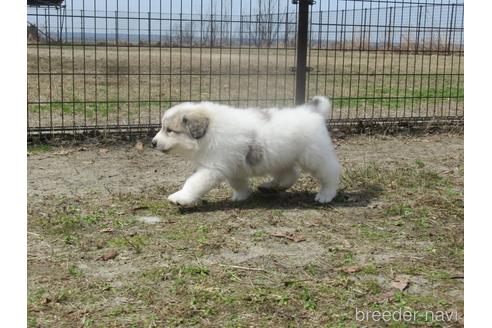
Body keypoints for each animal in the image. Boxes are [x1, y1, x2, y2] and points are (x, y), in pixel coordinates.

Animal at [152, 96, 340, 206]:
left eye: (169, 130)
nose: (153, 143)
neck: (210, 130)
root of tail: (312, 111)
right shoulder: (232, 167)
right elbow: (238, 183)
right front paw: (242, 195)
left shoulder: (213, 168)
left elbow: (194, 182)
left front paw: (181, 197)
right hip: (279, 157)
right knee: (290, 173)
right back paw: (270, 186)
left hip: (315, 156)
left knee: (331, 172)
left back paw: (326, 194)